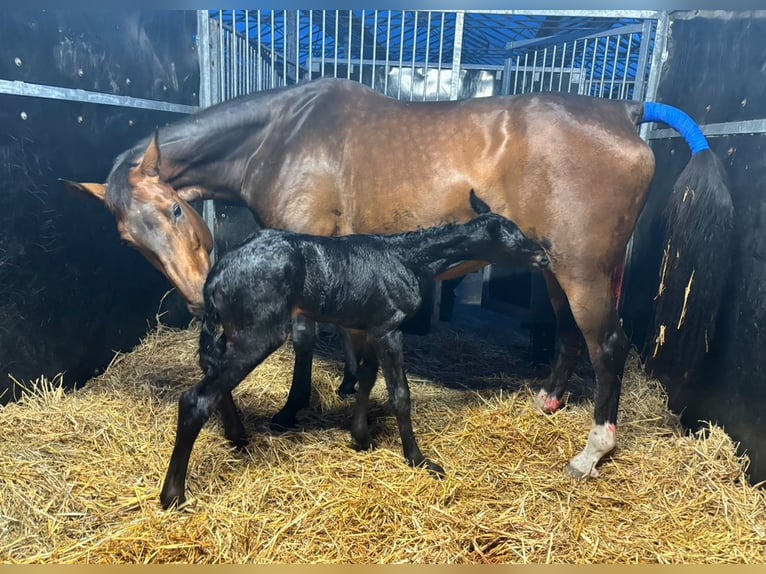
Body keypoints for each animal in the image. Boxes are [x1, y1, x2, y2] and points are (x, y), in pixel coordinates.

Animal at [160, 192, 544, 508]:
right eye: (512, 234)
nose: (542, 255)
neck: (409, 259)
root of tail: (216, 274)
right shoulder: (390, 327)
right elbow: (399, 393)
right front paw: (419, 459)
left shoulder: (368, 326)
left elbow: (367, 378)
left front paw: (361, 437)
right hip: (260, 332)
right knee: (196, 398)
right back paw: (173, 495)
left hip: (232, 332)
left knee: (211, 372)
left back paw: (237, 435)